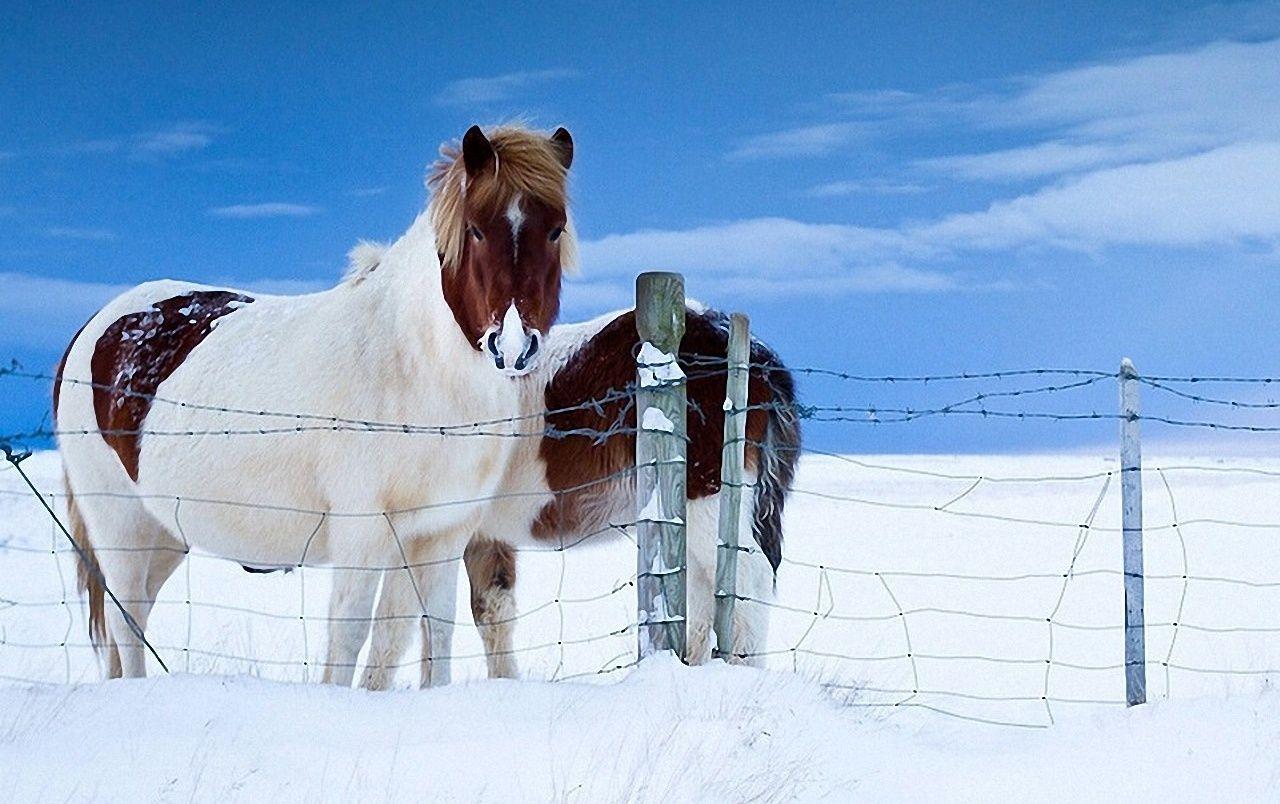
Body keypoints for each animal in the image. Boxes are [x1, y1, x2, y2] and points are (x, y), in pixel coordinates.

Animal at [55, 124, 576, 675]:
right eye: (475, 230)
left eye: (555, 229)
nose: (514, 347)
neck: (409, 366)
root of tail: (95, 328)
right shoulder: (363, 532)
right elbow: (348, 637)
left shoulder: (440, 532)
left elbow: (428, 630)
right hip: (119, 525)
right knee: (127, 623)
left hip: (165, 534)